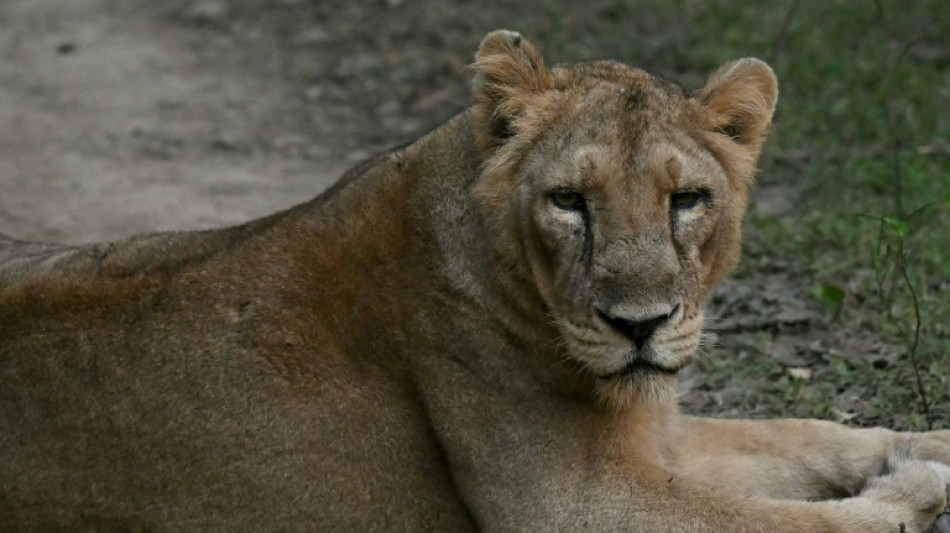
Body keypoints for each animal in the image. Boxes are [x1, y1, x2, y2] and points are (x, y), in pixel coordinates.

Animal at [1, 29, 949, 532]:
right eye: (569, 200)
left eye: (688, 200)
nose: (640, 324)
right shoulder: (570, 499)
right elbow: (786, 518)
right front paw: (909, 497)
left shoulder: (651, 435)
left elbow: (806, 432)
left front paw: (926, 449)